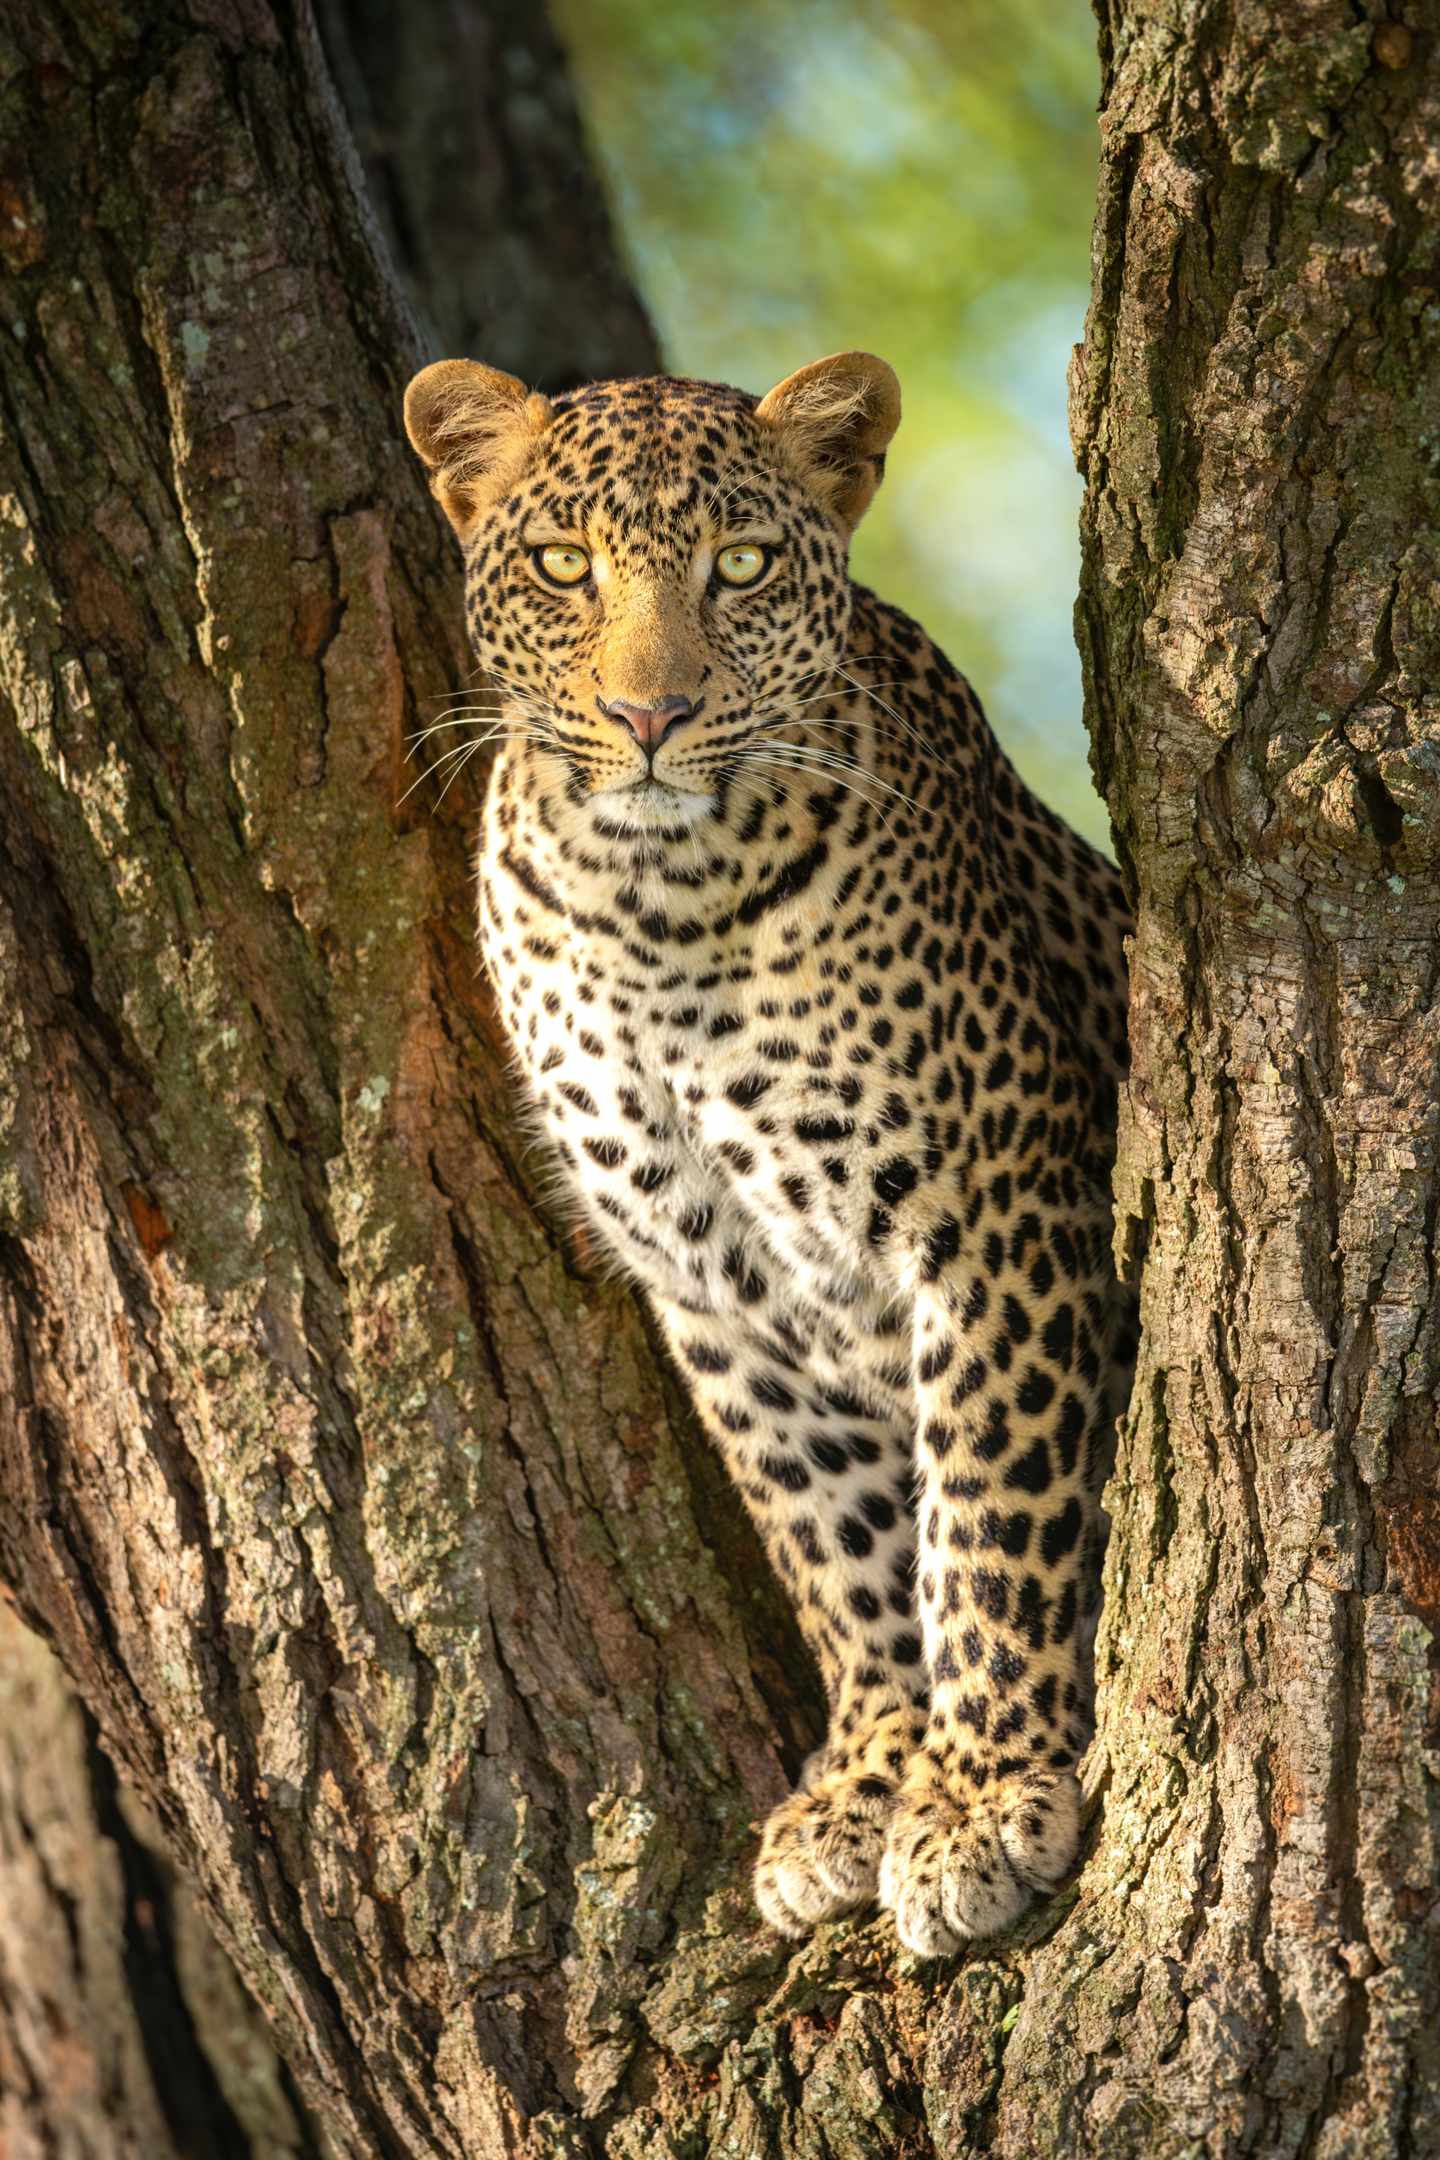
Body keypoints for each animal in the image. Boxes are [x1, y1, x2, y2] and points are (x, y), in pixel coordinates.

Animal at [403, 349, 1132, 1957]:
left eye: (737, 568)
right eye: (565, 566)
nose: (650, 714)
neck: (657, 899)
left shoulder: (995, 1212)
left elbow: (986, 1513)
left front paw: (981, 1792)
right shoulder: (713, 1281)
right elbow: (836, 1542)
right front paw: (868, 1780)